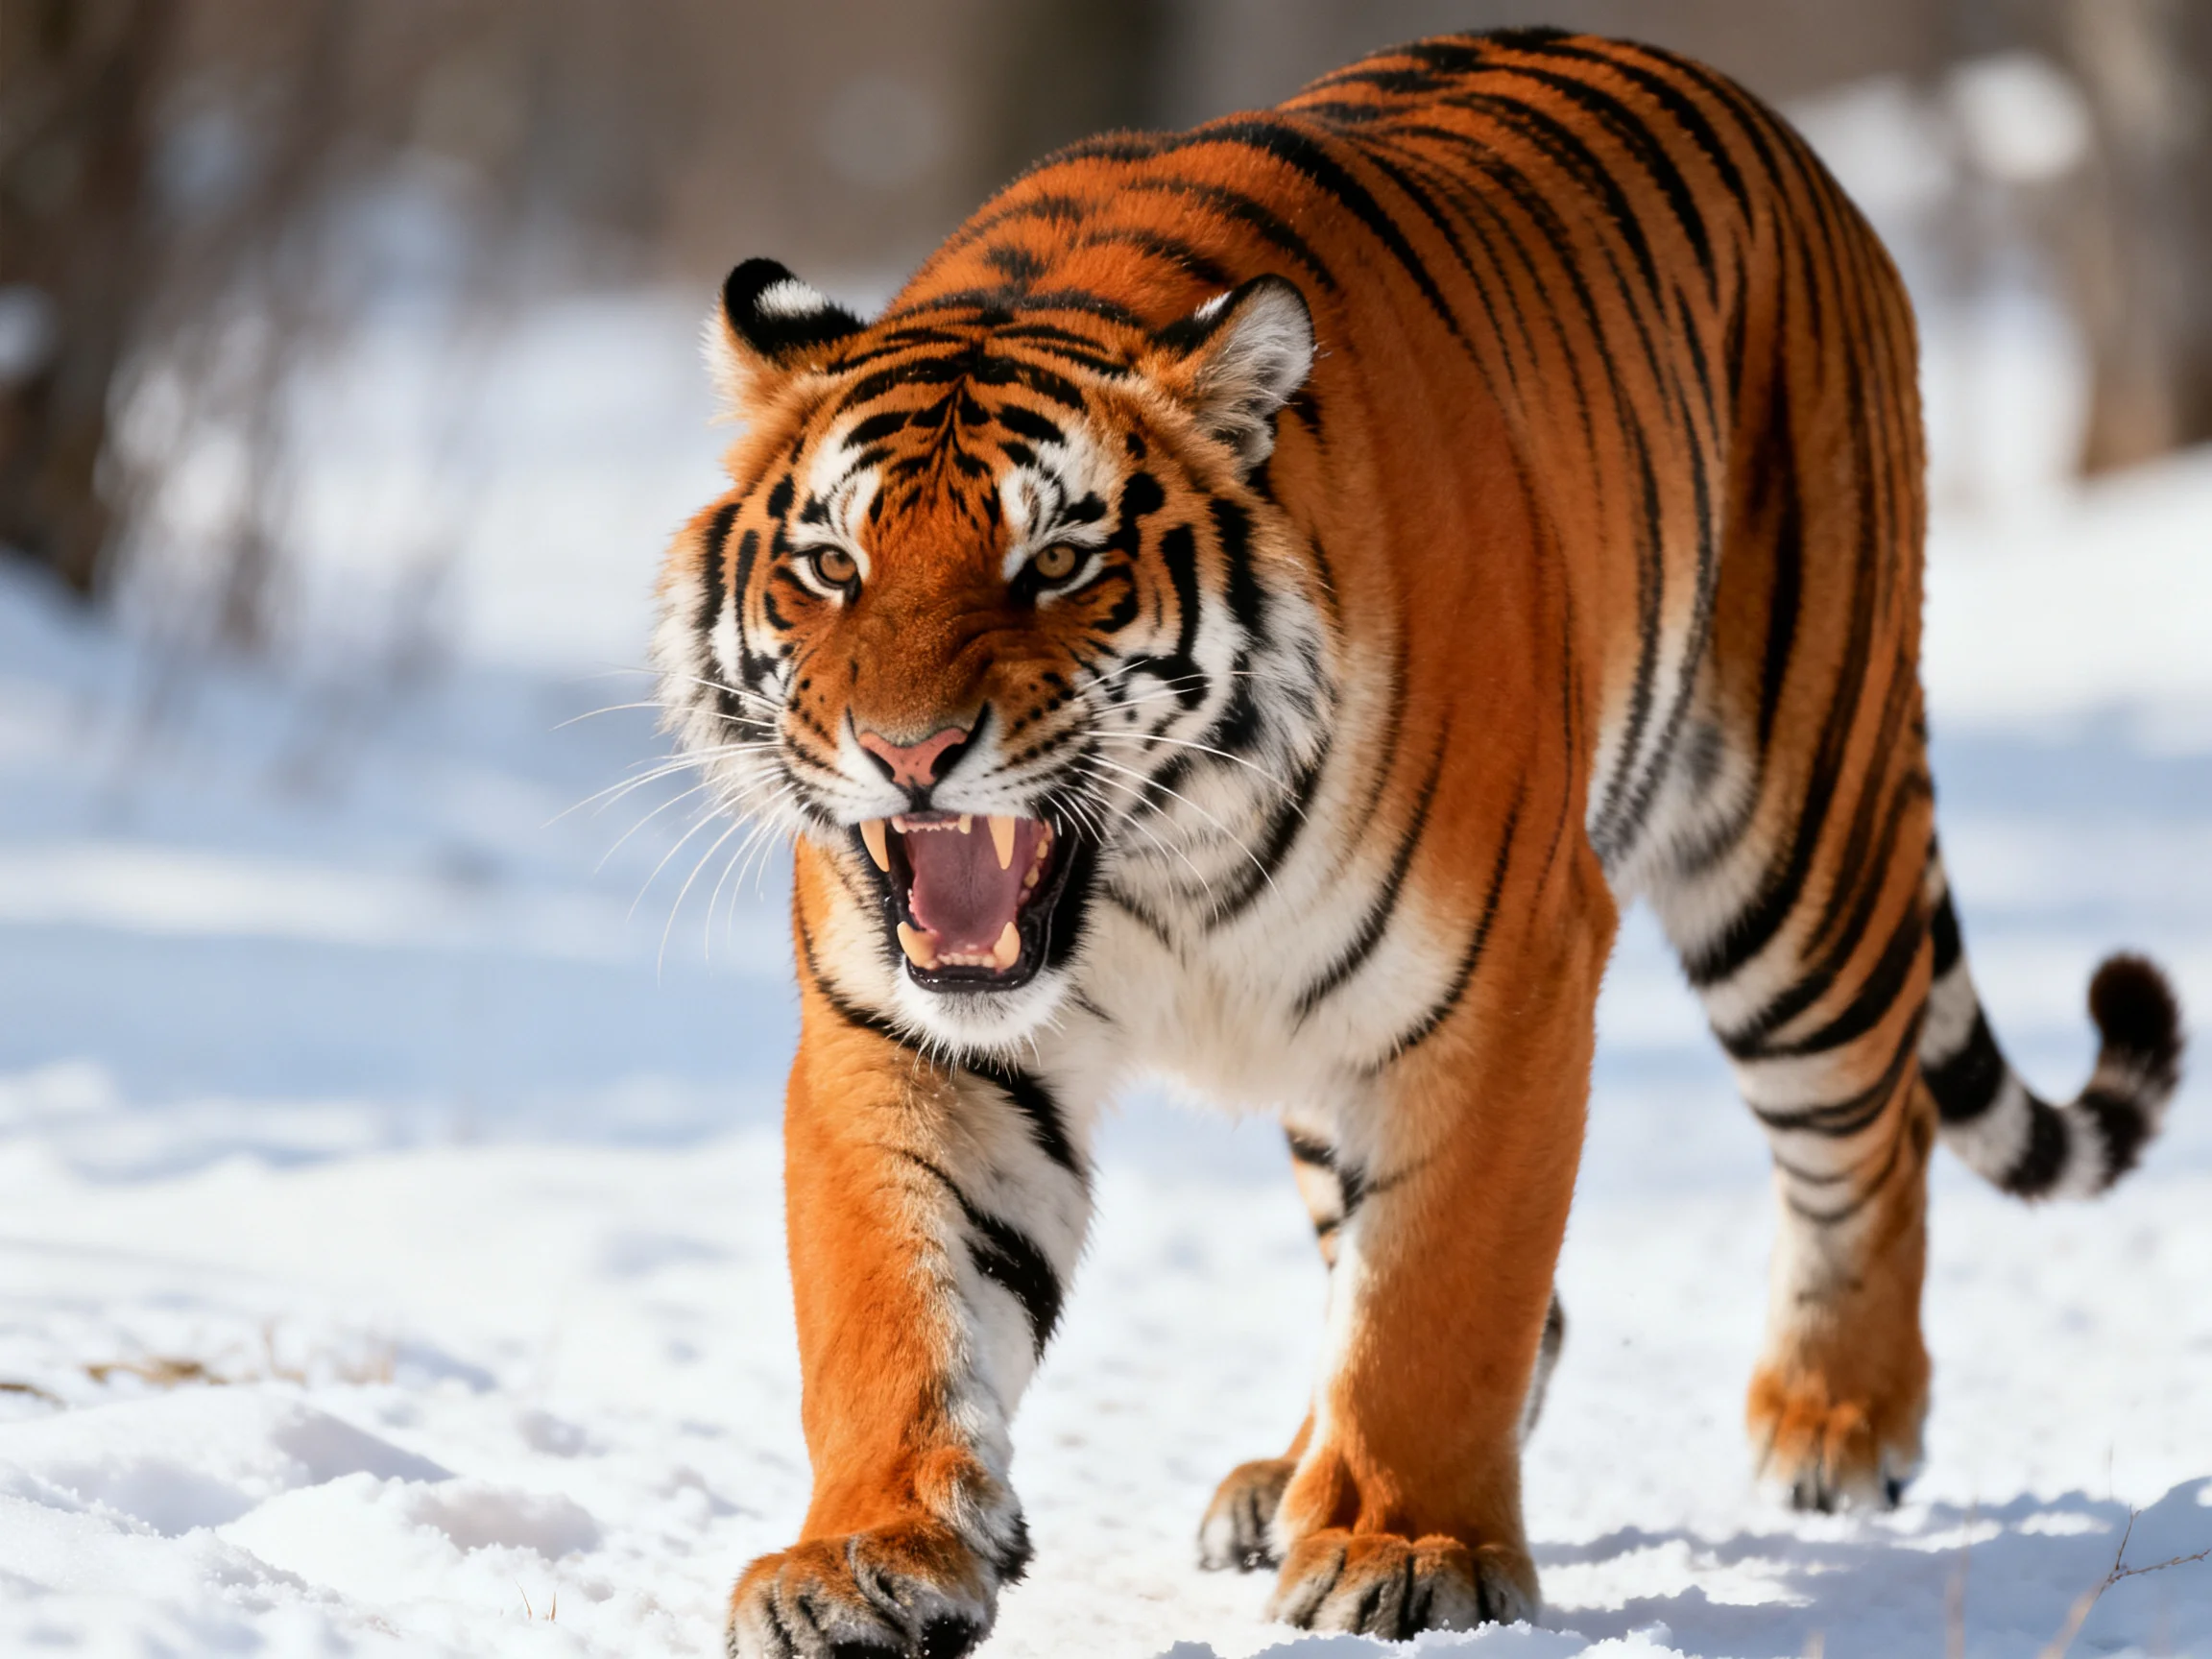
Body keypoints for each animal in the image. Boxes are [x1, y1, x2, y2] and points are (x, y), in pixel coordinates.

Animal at [652, 26, 2185, 1654]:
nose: (907, 754)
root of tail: (1775, 135)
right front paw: (865, 1558)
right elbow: (894, 1304)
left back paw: (1835, 1424)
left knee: (1869, 1137)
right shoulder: (906, 1035)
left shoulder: (1502, 979)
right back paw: (1286, 1476)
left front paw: (1407, 1550)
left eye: (1056, 562)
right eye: (832, 565)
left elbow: (1442, 1296)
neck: (1155, 876)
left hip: (1794, 855)